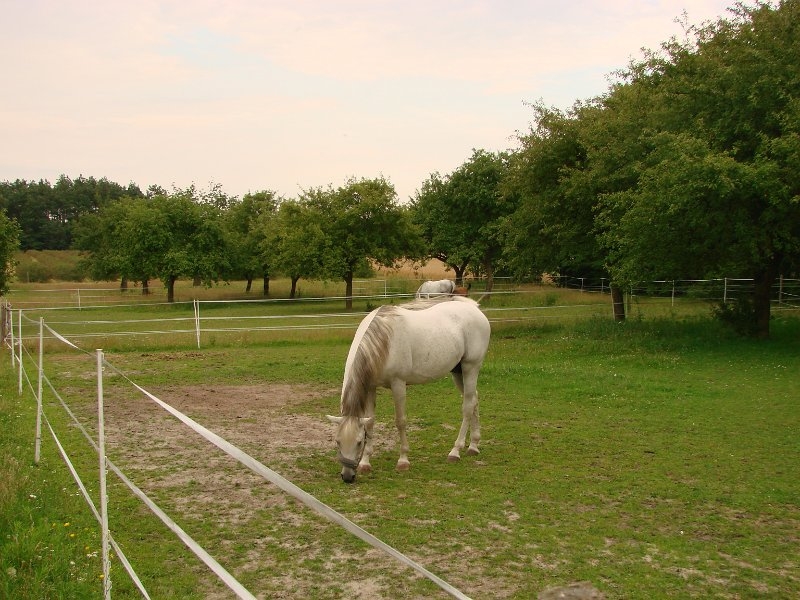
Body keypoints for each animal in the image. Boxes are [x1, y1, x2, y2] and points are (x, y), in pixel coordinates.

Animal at [326, 296, 490, 482]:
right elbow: (370, 422)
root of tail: (475, 308)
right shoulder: (370, 388)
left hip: (471, 367)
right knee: (474, 399)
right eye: (337, 441)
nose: (347, 477)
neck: (384, 341)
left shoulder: (398, 384)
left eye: (359, 442)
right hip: (458, 371)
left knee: (467, 406)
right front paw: (365, 463)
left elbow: (400, 421)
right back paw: (474, 446)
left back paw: (455, 451)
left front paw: (403, 461)